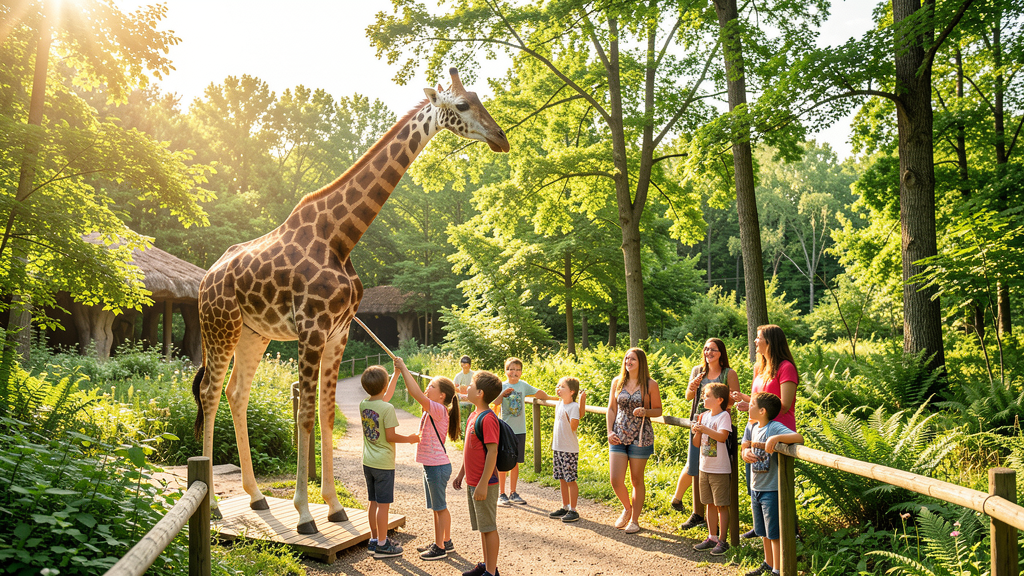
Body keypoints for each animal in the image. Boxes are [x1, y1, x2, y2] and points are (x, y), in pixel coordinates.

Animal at [191, 68, 509, 534]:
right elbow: (305, 414)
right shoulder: (311, 328)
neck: (341, 236)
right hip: (221, 328)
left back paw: (255, 496)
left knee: (237, 393)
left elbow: (325, 411)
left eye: (478, 97)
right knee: (211, 394)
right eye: (463, 105)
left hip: (254, 333)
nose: (501, 138)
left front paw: (333, 507)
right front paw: (305, 515)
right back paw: (214, 505)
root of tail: (205, 280)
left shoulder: (338, 331)